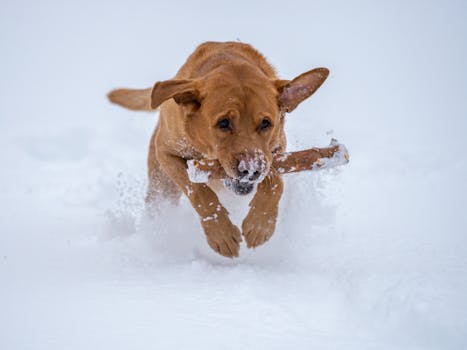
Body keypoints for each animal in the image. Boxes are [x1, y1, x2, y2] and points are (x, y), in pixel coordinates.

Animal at [109, 42, 330, 258]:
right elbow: (197, 190)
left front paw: (260, 225)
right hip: (161, 183)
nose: (251, 170)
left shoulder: (276, 150)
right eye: (224, 122)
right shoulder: (166, 153)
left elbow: (275, 180)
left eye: (266, 123)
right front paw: (221, 233)